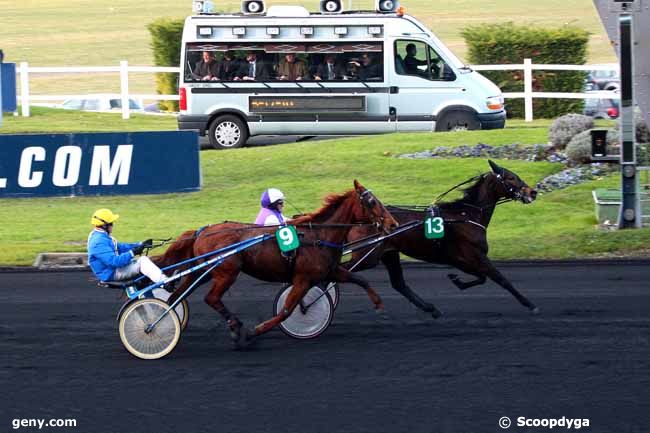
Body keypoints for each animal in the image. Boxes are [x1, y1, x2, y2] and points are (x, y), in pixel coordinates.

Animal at [159, 179, 398, 344]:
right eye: (371, 202)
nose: (393, 224)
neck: (318, 235)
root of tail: (202, 231)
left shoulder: (330, 271)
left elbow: (361, 280)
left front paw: (379, 305)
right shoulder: (303, 279)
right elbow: (286, 311)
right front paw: (255, 331)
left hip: (206, 271)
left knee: (176, 295)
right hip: (227, 272)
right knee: (211, 298)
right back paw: (236, 326)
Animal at [344, 160, 536, 316]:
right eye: (511, 177)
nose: (533, 192)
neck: (466, 215)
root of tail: (357, 220)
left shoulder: (458, 259)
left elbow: (481, 277)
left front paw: (456, 280)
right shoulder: (476, 255)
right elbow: (500, 279)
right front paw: (530, 304)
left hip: (388, 253)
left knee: (399, 283)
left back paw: (431, 309)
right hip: (368, 257)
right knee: (344, 270)